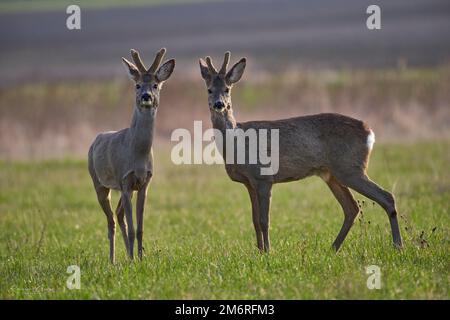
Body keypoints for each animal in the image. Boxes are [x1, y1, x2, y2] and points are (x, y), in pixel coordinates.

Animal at [88, 47, 174, 262]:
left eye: (155, 85)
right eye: (137, 85)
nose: (146, 96)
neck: (138, 155)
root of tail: (95, 140)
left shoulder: (143, 184)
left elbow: (140, 228)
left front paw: (140, 259)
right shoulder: (125, 180)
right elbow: (133, 228)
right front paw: (134, 260)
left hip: (120, 188)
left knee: (118, 216)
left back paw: (126, 256)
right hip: (99, 183)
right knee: (111, 220)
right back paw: (113, 260)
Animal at [199, 52, 402, 252]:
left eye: (227, 89)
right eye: (209, 90)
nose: (219, 104)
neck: (238, 144)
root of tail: (369, 132)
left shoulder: (264, 177)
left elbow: (264, 221)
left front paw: (268, 252)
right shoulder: (249, 183)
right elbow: (255, 221)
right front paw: (259, 251)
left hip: (350, 168)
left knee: (387, 197)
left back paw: (398, 245)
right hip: (332, 174)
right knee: (352, 208)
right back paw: (333, 248)